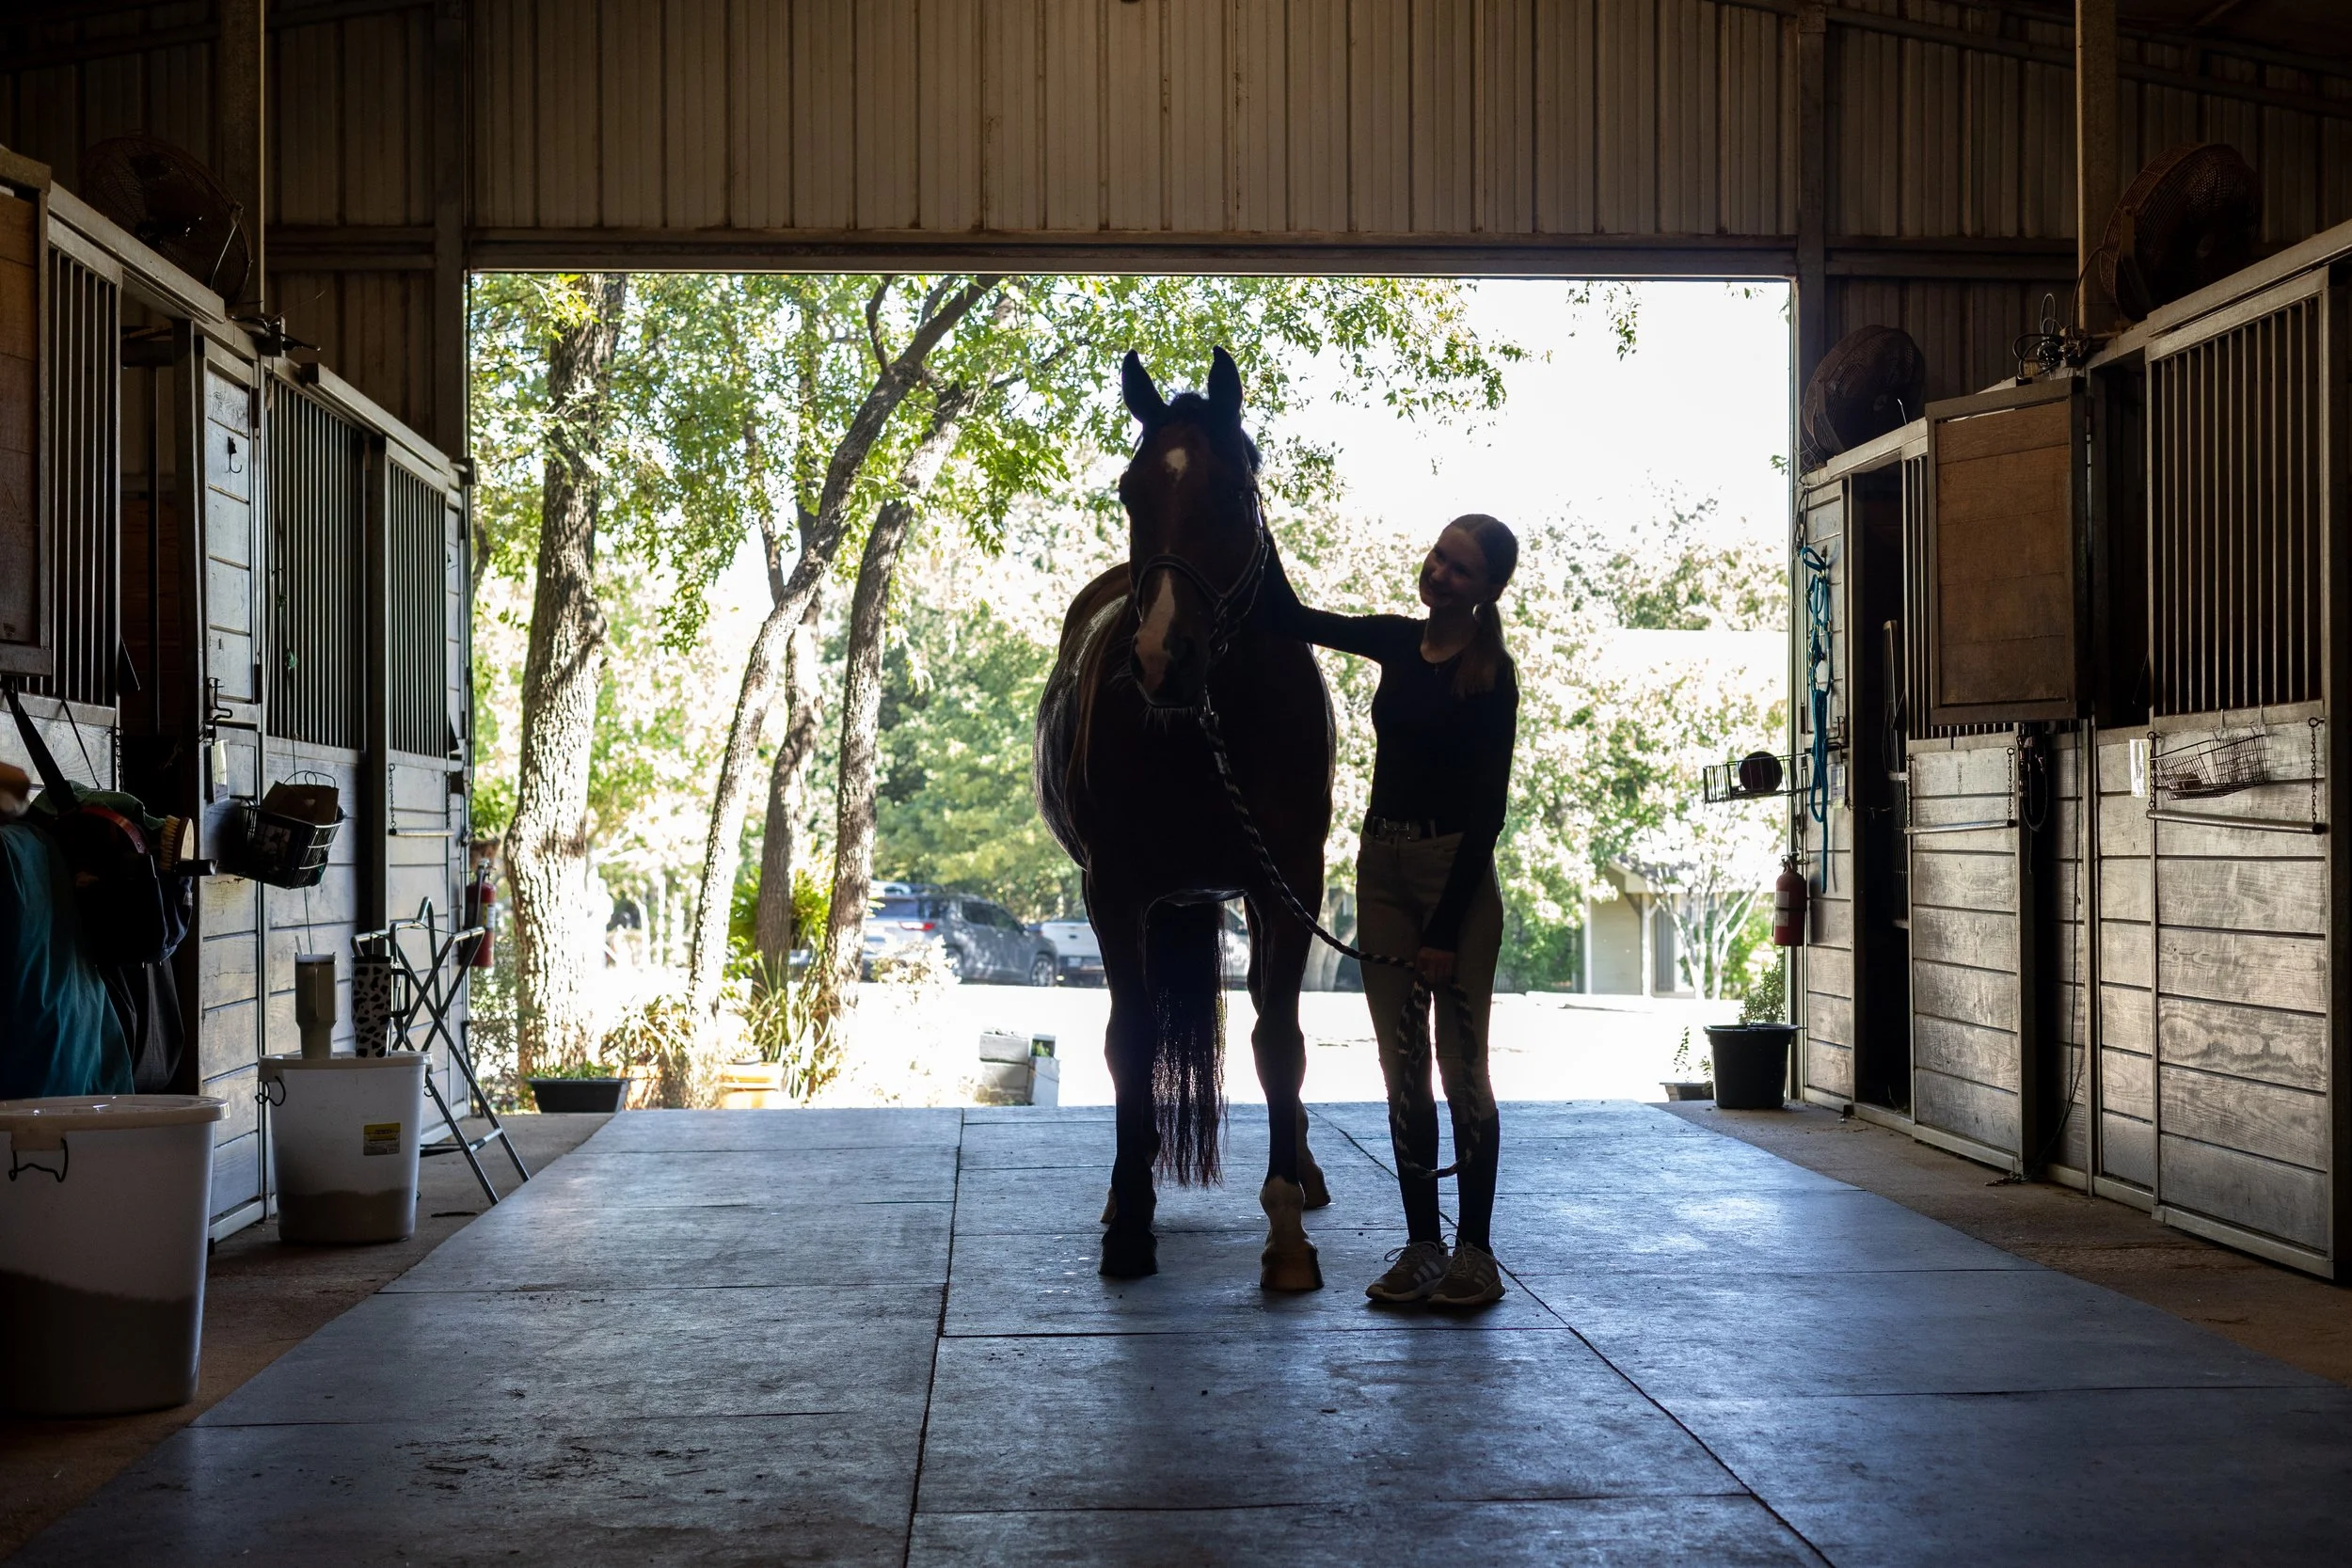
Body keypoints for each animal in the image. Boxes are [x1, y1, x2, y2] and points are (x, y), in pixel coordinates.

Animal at [1034, 347, 1335, 1289]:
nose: (1162, 655)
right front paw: (1131, 1217)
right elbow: (1128, 1042)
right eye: (1131, 492)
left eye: (1235, 490)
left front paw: (1286, 1230)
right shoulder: (1116, 890)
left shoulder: (1288, 886)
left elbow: (1280, 1043)